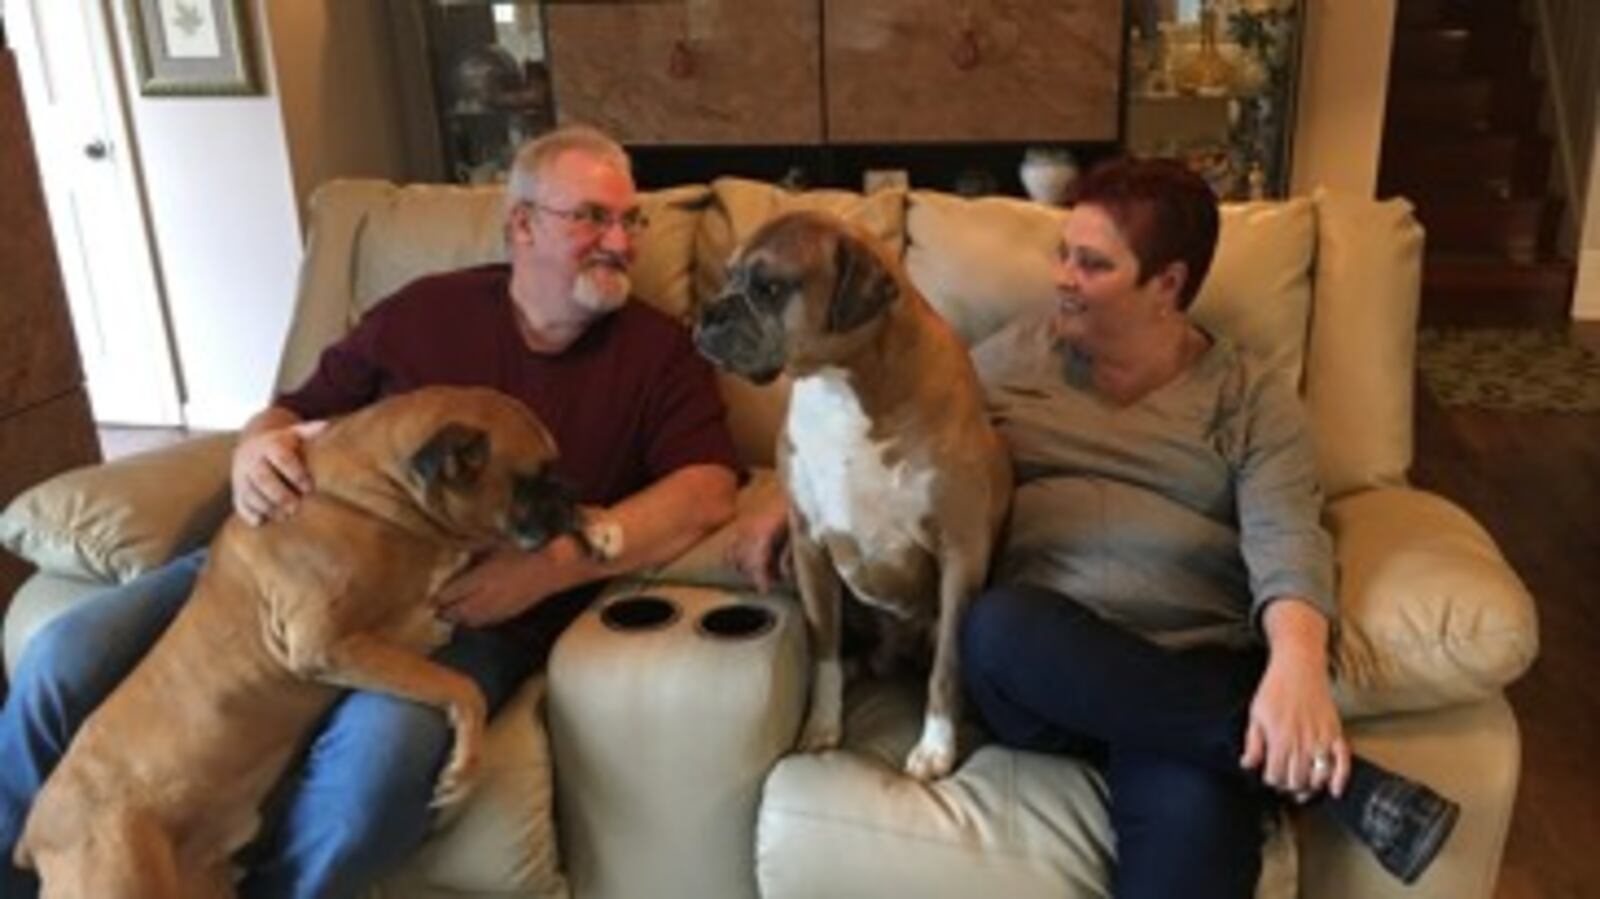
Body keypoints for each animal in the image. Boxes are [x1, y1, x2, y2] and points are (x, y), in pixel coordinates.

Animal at [691, 209, 1011, 777]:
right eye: (726, 276)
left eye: (770, 287)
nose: (708, 311)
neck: (840, 385)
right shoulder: (809, 546)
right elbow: (824, 651)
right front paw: (821, 725)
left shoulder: (961, 554)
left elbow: (948, 666)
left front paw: (936, 746)